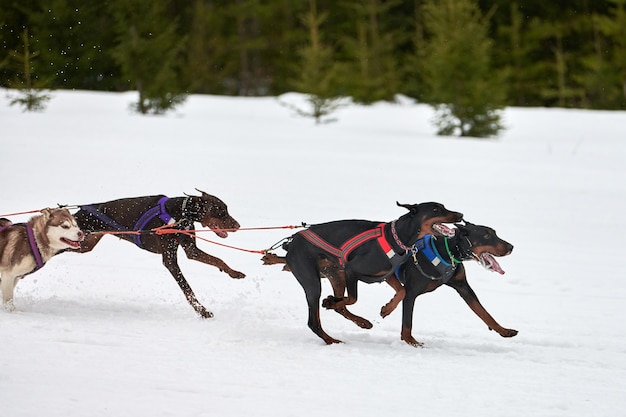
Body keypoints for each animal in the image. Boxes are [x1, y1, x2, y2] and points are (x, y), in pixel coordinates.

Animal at [69, 190, 243, 316]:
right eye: (221, 211)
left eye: (225, 209)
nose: (238, 225)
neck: (181, 213)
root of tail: (75, 214)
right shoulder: (170, 260)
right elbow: (187, 289)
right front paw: (202, 311)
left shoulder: (191, 250)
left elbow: (217, 259)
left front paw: (234, 272)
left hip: (84, 244)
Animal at [280, 200, 460, 342]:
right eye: (436, 209)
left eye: (443, 206)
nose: (460, 214)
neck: (397, 238)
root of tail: (291, 243)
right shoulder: (351, 269)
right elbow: (353, 298)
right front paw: (331, 301)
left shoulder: (386, 274)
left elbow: (401, 291)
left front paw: (387, 309)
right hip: (313, 281)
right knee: (314, 321)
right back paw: (332, 339)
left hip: (336, 274)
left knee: (338, 307)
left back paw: (360, 321)